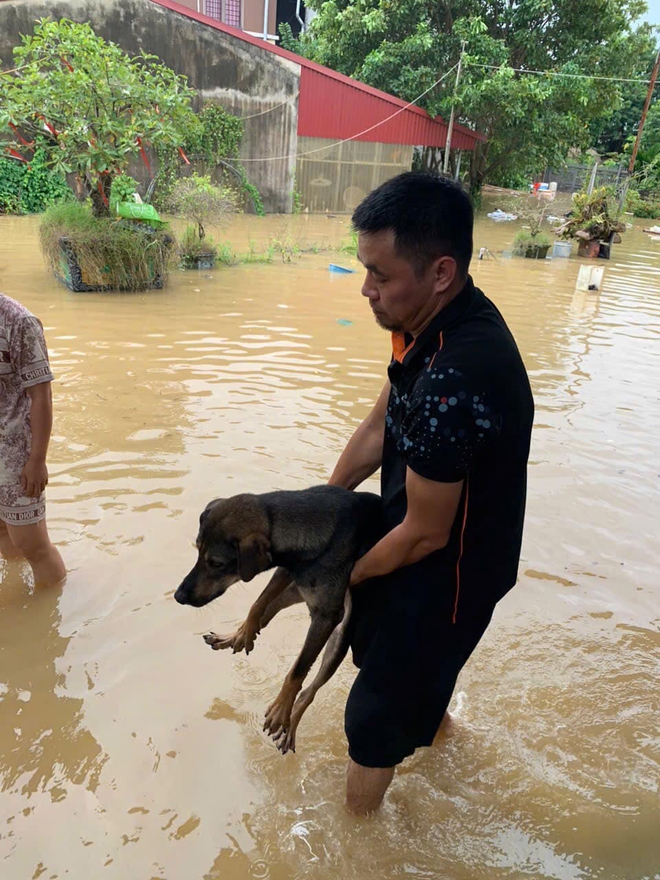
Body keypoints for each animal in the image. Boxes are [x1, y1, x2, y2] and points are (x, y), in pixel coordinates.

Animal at [175, 484, 384, 752]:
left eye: (217, 563)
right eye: (198, 550)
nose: (179, 596)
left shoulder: (326, 617)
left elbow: (298, 669)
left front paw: (281, 708)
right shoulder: (285, 570)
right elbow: (258, 603)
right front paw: (244, 632)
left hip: (338, 635)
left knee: (308, 692)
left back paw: (290, 725)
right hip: (295, 591)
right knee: (267, 612)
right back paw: (235, 636)